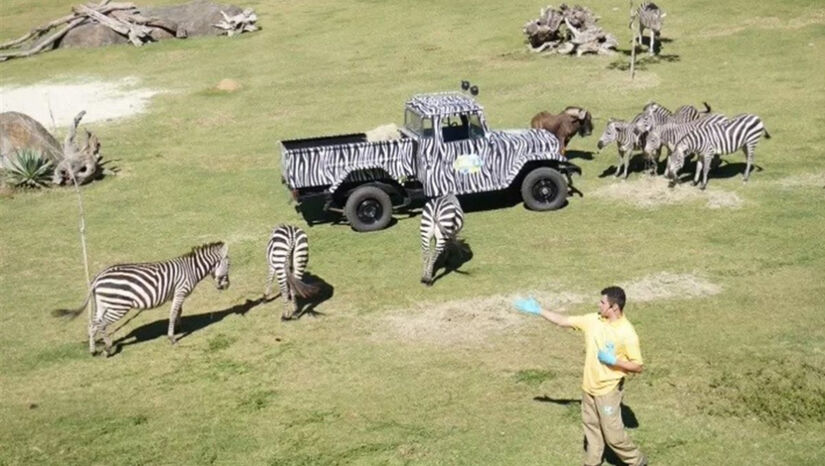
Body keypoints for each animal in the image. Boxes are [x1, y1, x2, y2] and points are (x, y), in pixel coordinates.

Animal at [54, 242, 229, 354]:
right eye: (229, 264)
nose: (226, 286)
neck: (192, 269)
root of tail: (98, 277)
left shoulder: (177, 293)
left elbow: (179, 311)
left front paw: (178, 328)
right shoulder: (180, 291)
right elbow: (173, 313)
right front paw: (172, 337)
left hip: (102, 304)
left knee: (92, 324)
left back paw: (92, 350)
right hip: (118, 306)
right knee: (101, 324)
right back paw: (108, 348)